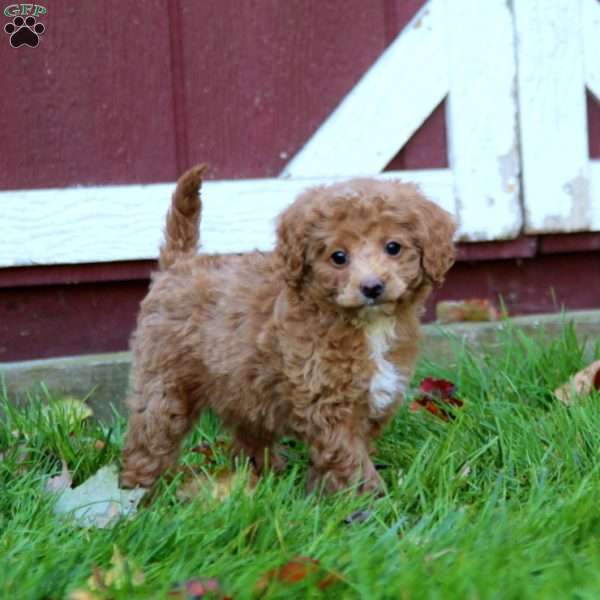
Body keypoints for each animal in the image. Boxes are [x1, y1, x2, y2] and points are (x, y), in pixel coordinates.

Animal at [120, 166, 454, 494]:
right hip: (164, 381)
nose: (372, 287)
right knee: (150, 435)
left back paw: (261, 479)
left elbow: (350, 452)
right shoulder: (328, 404)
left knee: (248, 438)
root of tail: (180, 262)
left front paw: (326, 494)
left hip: (244, 388)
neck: (367, 325)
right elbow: (349, 457)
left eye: (393, 247)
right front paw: (370, 499)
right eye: (338, 257)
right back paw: (142, 490)